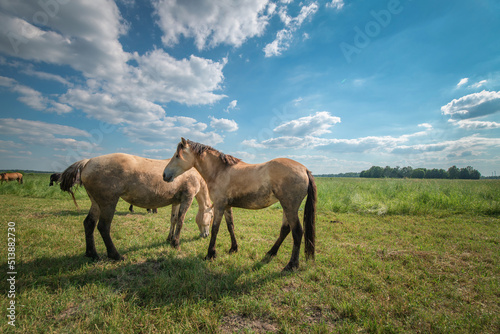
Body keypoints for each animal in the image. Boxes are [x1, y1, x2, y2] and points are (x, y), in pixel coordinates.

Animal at [60, 153, 213, 260]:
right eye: (211, 217)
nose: (206, 235)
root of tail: (88, 162)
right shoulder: (187, 198)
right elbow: (180, 221)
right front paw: (176, 243)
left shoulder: (176, 201)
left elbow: (173, 220)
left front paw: (169, 239)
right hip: (108, 203)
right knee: (103, 227)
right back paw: (115, 255)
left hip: (96, 203)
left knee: (89, 224)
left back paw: (92, 254)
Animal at [162, 138, 316, 272]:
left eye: (177, 155)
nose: (164, 175)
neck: (219, 171)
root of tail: (305, 169)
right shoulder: (226, 206)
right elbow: (230, 226)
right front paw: (233, 248)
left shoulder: (219, 205)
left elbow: (215, 229)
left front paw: (210, 254)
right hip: (286, 207)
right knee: (285, 230)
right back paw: (271, 253)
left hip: (290, 208)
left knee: (297, 232)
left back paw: (291, 265)